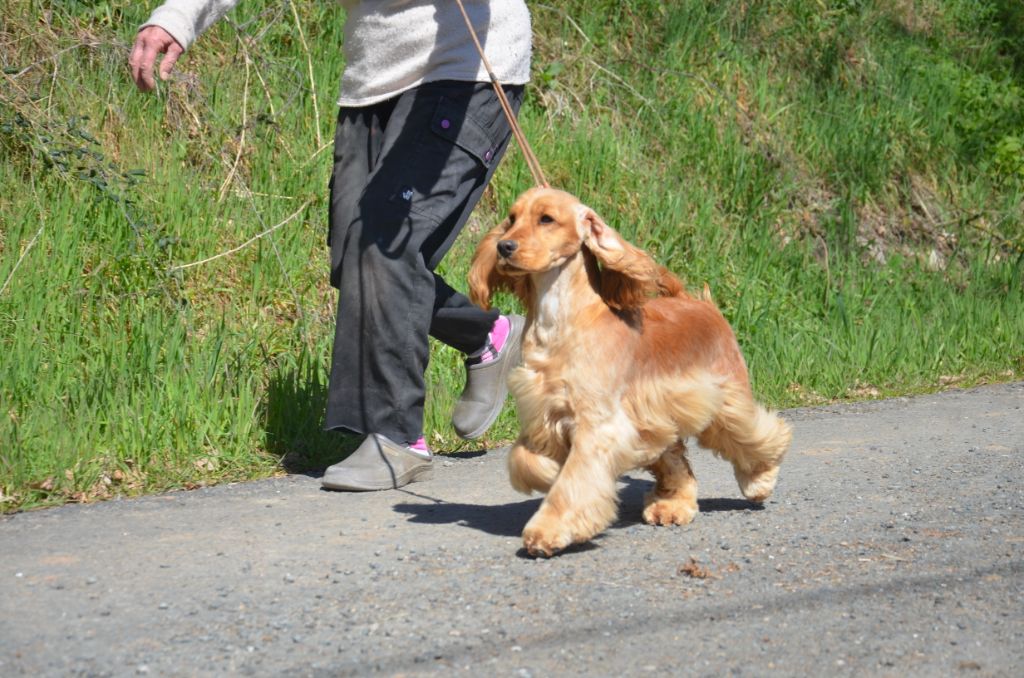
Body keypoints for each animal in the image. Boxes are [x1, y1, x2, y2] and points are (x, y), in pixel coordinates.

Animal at [468, 187, 792, 557]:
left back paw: (759, 482)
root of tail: (699, 303)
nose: (504, 247)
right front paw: (549, 473)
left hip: (725, 399)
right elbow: (524, 458)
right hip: (659, 418)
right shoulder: (543, 412)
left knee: (757, 434)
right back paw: (671, 506)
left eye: (546, 219)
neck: (561, 320)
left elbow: (575, 481)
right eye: (511, 218)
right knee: (677, 462)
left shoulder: (598, 424)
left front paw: (548, 531)